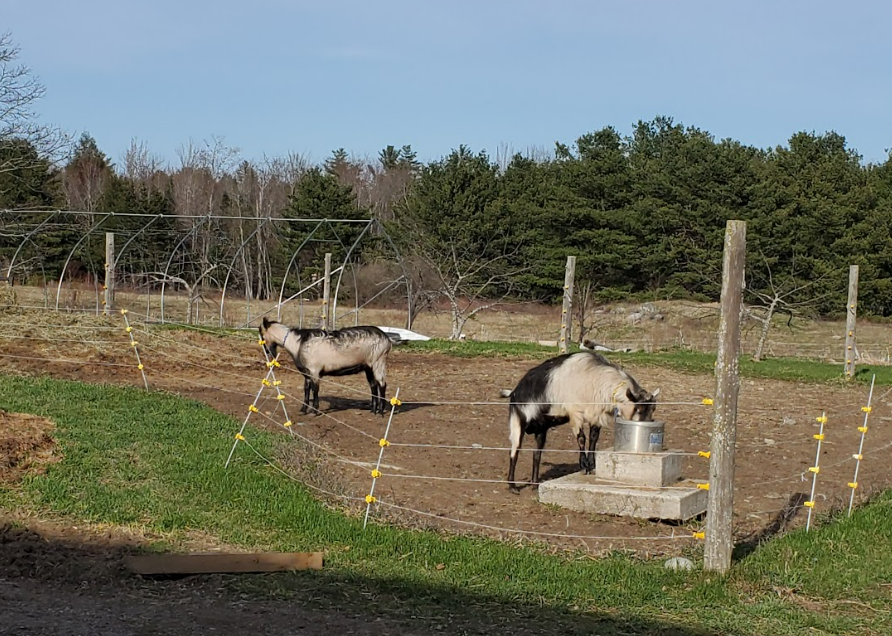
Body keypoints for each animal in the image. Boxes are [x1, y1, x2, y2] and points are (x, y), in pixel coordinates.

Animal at [258, 317, 394, 416]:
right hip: (368, 366)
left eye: (262, 335)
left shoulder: (314, 371)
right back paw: (373, 410)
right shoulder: (307, 373)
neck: (298, 344)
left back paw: (381, 411)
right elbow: (306, 390)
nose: (267, 351)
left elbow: (315, 390)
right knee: (373, 385)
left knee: (382, 384)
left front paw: (315, 411)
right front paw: (303, 410)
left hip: (378, 361)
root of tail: (387, 339)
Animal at [502, 351, 660, 492]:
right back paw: (512, 486)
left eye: (653, 409)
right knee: (514, 452)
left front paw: (591, 464)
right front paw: (583, 465)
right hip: (517, 423)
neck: (593, 376)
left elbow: (594, 438)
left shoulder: (597, 415)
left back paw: (534, 485)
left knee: (536, 455)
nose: (647, 423)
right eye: (638, 409)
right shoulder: (575, 413)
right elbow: (582, 438)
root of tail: (515, 392)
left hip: (541, 429)